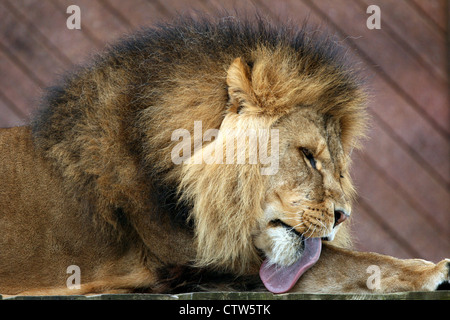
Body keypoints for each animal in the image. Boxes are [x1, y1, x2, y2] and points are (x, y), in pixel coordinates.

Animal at [0, 15, 448, 296]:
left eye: (338, 168)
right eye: (307, 155)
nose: (342, 216)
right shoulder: (190, 261)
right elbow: (349, 263)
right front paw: (433, 271)